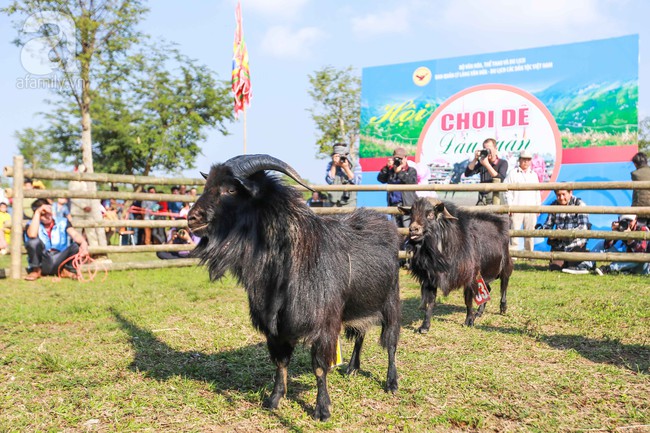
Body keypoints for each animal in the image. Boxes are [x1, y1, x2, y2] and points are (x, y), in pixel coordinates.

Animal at [187, 154, 400, 418]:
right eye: (207, 185)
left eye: (231, 189)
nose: (192, 218)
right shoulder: (276, 327)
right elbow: (281, 364)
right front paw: (274, 399)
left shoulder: (324, 325)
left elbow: (319, 368)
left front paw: (322, 409)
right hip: (360, 303)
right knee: (360, 334)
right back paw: (352, 368)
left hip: (391, 301)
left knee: (391, 344)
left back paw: (392, 382)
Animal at [394, 197, 512, 330]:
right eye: (412, 214)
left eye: (430, 214)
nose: (413, 229)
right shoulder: (430, 277)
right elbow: (430, 301)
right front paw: (424, 327)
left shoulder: (470, 275)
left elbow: (468, 300)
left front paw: (469, 321)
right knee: (488, 289)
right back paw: (479, 312)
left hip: (505, 267)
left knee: (504, 286)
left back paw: (503, 308)